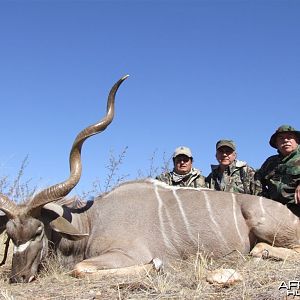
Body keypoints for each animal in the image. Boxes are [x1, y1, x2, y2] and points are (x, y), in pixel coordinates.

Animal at [0, 75, 300, 284]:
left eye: (38, 232)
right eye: (11, 236)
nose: (18, 277)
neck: (92, 221)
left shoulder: (128, 253)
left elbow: (80, 268)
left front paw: (156, 266)